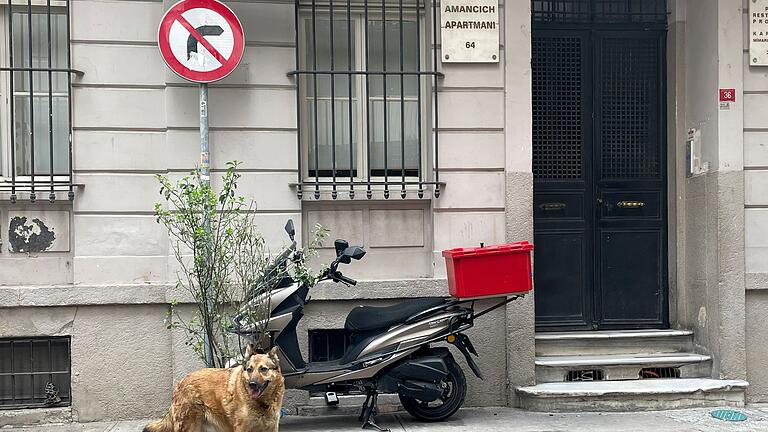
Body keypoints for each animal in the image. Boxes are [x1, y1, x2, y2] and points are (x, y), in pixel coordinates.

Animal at [144, 346, 284, 432]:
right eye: (249, 370)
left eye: (263, 369)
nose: (252, 384)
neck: (262, 403)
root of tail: (180, 383)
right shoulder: (241, 428)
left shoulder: (272, 428)